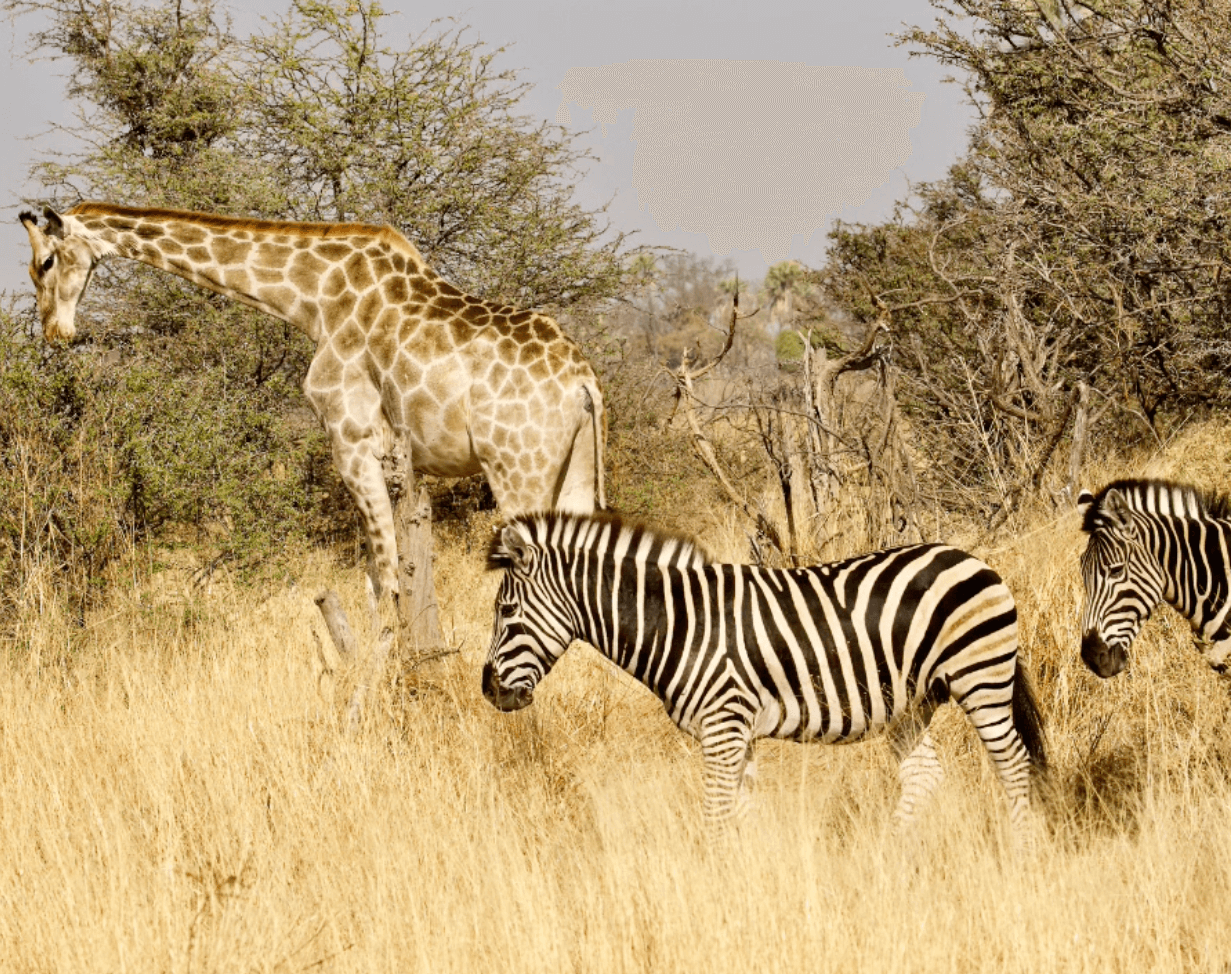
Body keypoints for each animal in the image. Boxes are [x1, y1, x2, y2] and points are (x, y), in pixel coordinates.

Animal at [21, 199, 608, 610]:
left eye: (45, 263)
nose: (54, 333)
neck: (314, 299)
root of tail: (584, 383)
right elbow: (381, 576)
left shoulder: (351, 440)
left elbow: (385, 582)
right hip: (574, 472)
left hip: (517, 470)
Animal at [480, 509, 1048, 837]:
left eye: (505, 612)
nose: (488, 691)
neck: (679, 623)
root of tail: (972, 559)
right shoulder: (736, 731)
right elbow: (740, 814)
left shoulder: (723, 726)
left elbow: (714, 817)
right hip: (913, 701)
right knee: (924, 775)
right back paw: (889, 856)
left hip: (980, 676)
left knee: (1013, 760)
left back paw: (1019, 849)